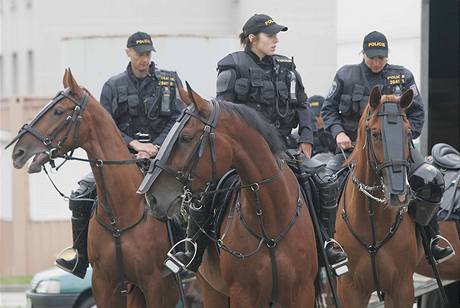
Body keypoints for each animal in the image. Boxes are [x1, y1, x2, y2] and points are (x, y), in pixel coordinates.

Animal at [140, 85, 320, 306]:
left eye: (186, 138)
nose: (152, 198)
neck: (269, 223)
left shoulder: (302, 292)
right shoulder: (243, 295)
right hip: (212, 292)